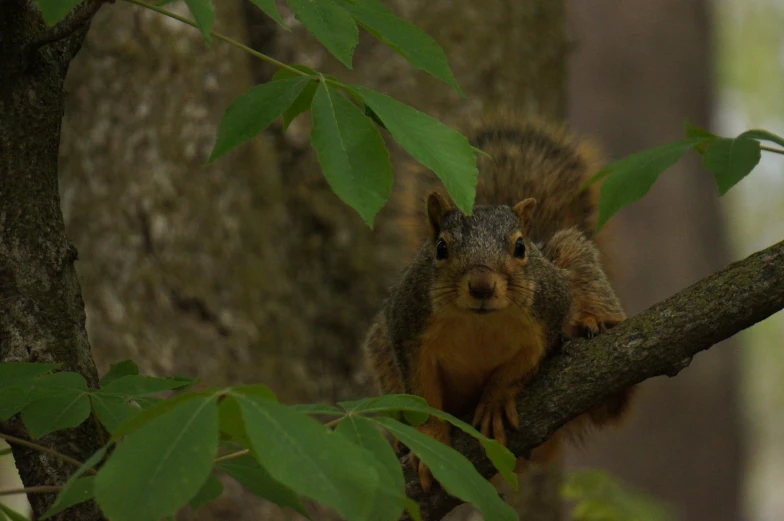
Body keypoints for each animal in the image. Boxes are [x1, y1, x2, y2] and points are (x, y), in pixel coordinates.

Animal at [364, 114, 632, 492]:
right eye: (441, 248)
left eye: (519, 247)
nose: (481, 286)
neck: (481, 323)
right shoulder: (407, 328)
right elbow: (423, 394)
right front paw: (429, 441)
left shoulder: (545, 322)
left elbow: (517, 370)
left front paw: (493, 401)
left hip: (573, 257)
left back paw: (595, 323)